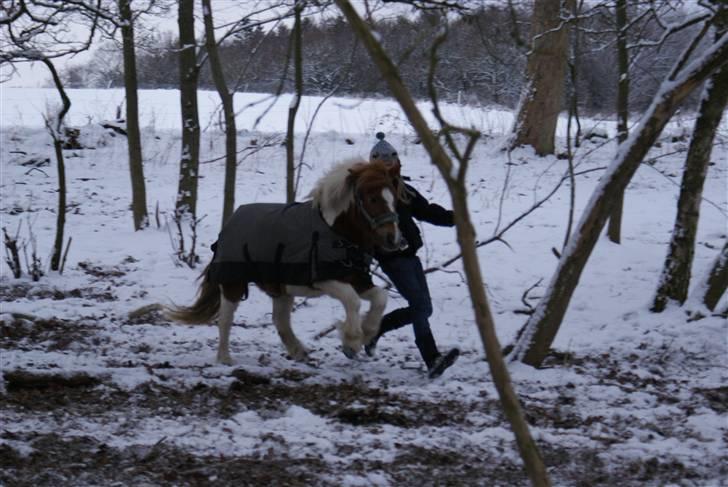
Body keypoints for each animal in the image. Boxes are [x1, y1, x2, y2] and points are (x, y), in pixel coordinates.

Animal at [165, 160, 404, 366]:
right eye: (372, 199)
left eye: (394, 197)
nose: (394, 240)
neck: (336, 233)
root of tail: (230, 222)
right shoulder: (325, 280)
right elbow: (352, 300)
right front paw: (352, 342)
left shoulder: (358, 279)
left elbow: (380, 298)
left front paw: (368, 333)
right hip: (234, 282)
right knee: (225, 319)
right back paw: (225, 358)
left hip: (281, 290)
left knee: (280, 320)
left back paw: (299, 352)